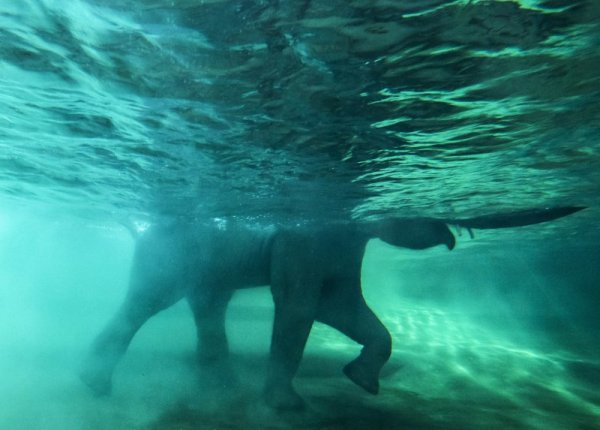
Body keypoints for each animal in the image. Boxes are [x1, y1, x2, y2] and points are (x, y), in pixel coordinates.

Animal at [78, 207, 580, 408]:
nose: (458, 232)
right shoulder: (306, 239)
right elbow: (300, 309)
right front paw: (288, 405)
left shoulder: (341, 247)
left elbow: (344, 309)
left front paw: (361, 379)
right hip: (173, 254)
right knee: (149, 301)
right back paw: (95, 382)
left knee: (209, 303)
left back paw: (220, 381)